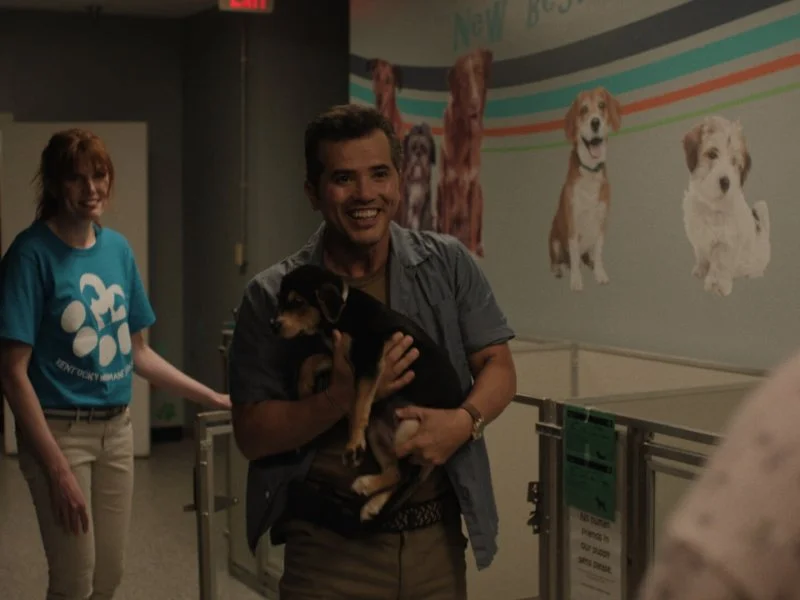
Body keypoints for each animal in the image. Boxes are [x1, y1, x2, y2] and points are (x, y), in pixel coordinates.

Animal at [271, 264, 465, 523]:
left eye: (297, 302)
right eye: (280, 301)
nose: (273, 325)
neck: (342, 312)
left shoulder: (369, 359)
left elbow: (359, 403)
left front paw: (353, 445)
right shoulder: (344, 358)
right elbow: (311, 361)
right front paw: (305, 389)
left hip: (412, 429)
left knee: (406, 472)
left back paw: (370, 492)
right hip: (377, 431)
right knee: (396, 473)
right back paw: (370, 495)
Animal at [436, 48, 492, 257]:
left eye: (478, 72)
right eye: (462, 79)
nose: (475, 104)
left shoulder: (474, 185)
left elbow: (475, 223)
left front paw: (473, 252)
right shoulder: (446, 184)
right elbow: (444, 223)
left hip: (482, 197)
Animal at [549, 87, 622, 292]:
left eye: (602, 105)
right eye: (583, 110)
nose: (595, 122)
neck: (590, 171)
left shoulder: (601, 222)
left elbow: (598, 253)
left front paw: (600, 273)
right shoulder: (573, 223)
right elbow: (573, 255)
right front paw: (576, 280)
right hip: (554, 240)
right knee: (558, 261)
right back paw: (561, 269)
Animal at [681, 116, 770, 297]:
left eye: (734, 162)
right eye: (712, 153)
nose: (725, 182)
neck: (711, 204)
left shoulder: (726, 243)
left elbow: (719, 265)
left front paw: (716, 286)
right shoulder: (699, 237)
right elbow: (701, 255)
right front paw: (700, 270)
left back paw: (754, 275)